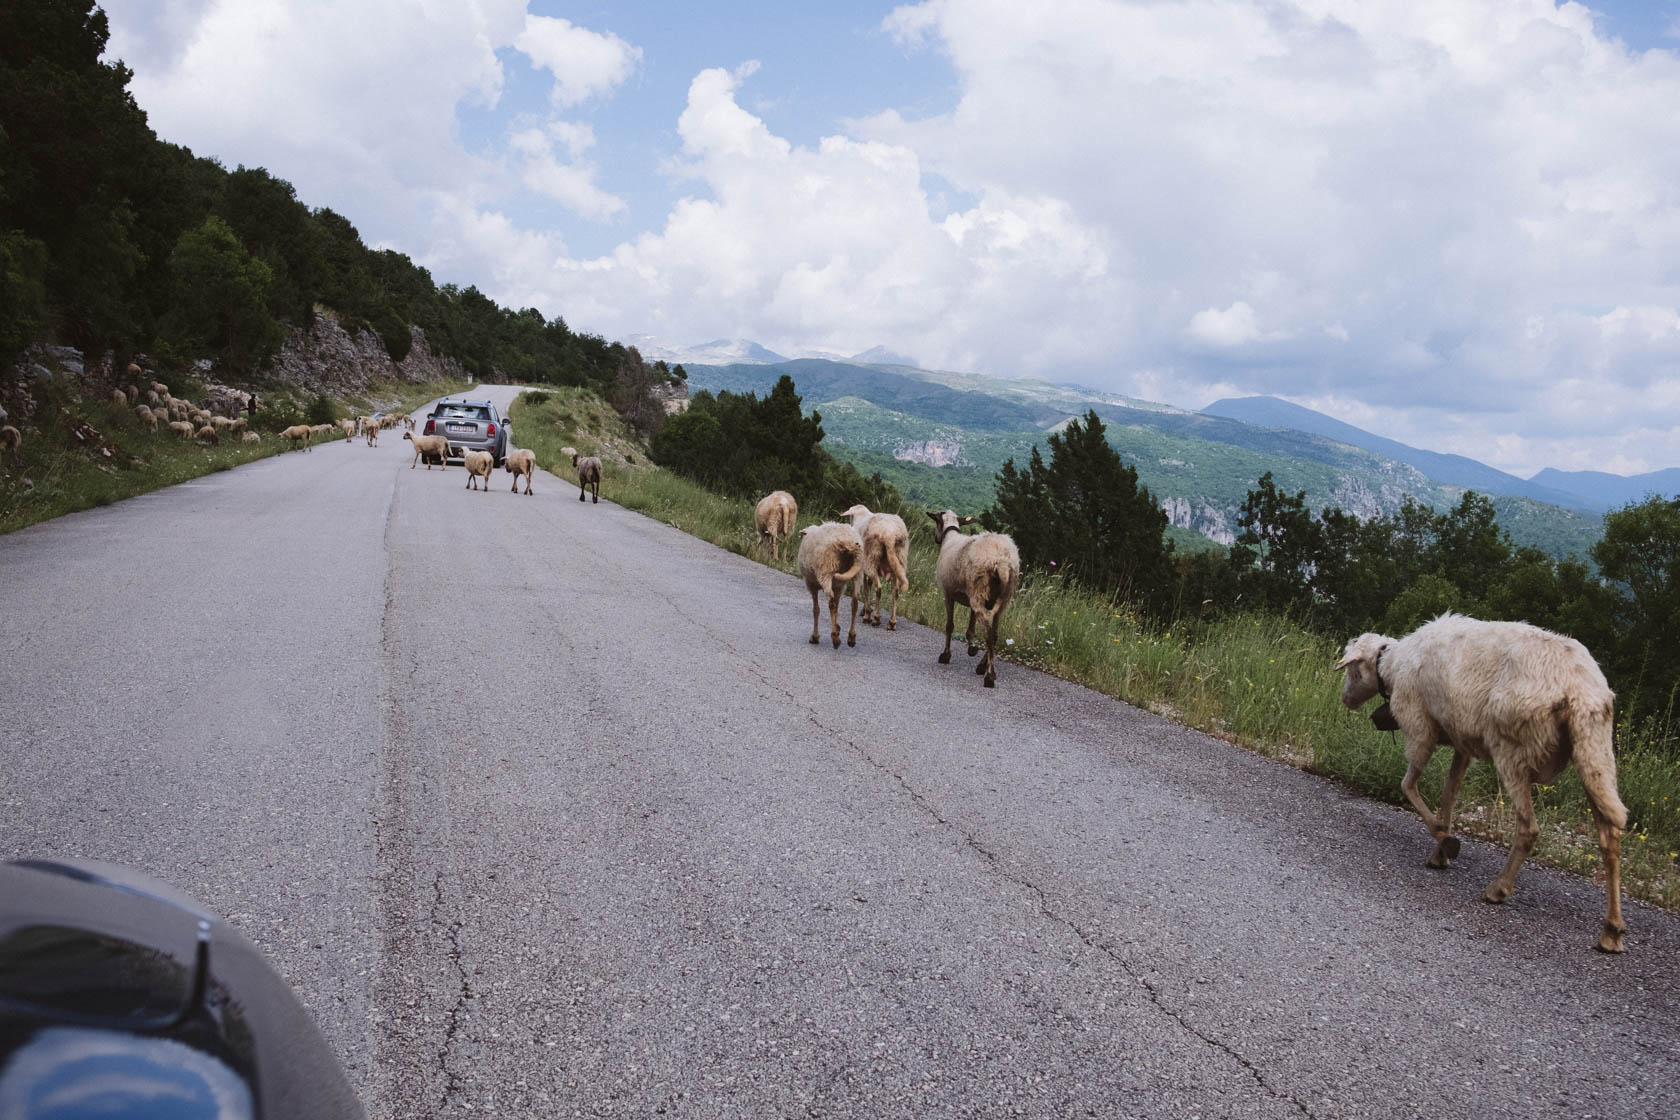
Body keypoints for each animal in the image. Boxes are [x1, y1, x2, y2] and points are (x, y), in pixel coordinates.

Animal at [927, 513, 1014, 688]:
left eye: (937, 521)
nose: (935, 539)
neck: (951, 537)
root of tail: (1002, 562)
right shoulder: (970, 598)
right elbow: (970, 629)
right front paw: (971, 649)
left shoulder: (948, 594)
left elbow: (949, 626)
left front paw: (945, 656)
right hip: (1000, 599)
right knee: (994, 634)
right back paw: (982, 666)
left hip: (979, 594)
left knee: (988, 633)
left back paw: (989, 676)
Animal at [1337, 614, 1626, 953]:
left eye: (1353, 669)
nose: (1346, 700)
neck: (1392, 664)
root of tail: (1580, 690)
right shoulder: (1462, 743)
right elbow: (1449, 795)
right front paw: (1440, 850)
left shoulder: (1420, 728)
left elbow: (1408, 786)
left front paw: (1446, 840)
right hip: (1595, 752)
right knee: (1610, 837)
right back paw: (1611, 931)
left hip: (1512, 749)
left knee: (1529, 827)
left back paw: (1498, 889)